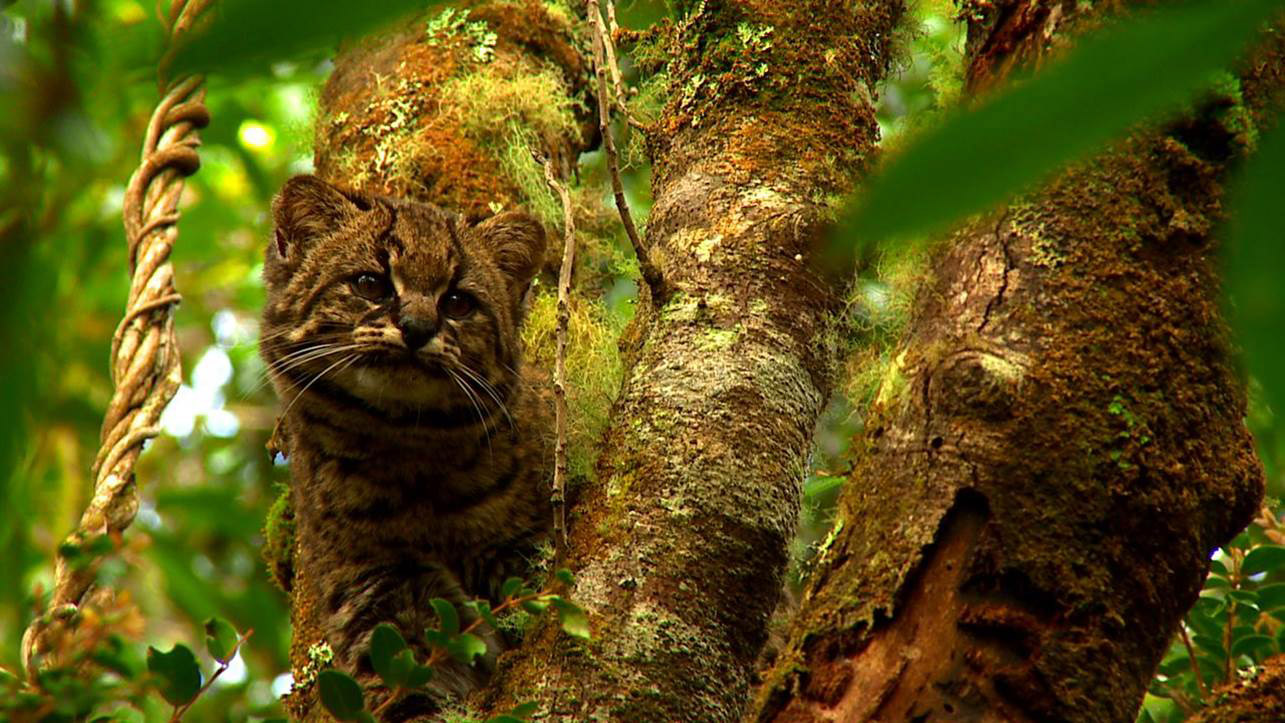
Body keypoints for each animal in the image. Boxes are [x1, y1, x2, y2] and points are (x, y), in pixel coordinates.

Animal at [263, 173, 555, 714]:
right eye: (370, 284)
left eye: (458, 302)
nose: (418, 330)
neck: (406, 445)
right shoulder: (369, 579)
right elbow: (407, 668)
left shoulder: (524, 548)